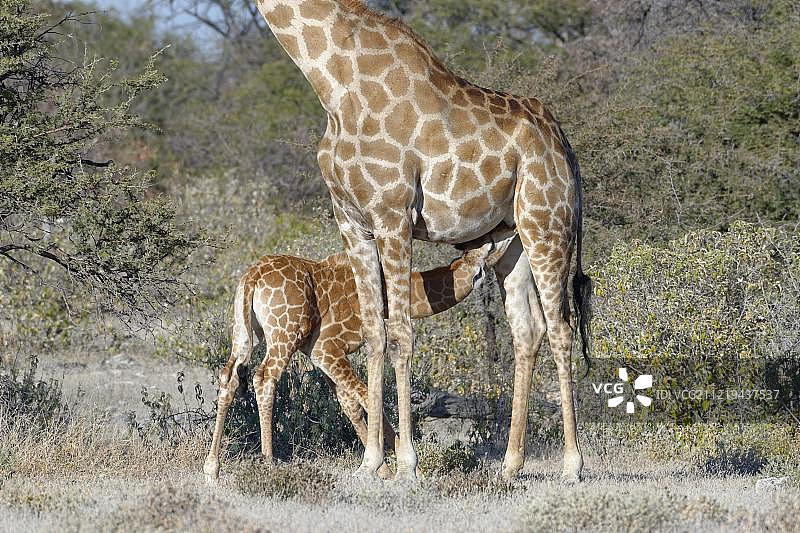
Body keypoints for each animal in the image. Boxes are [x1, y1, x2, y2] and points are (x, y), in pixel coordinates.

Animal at [203, 238, 512, 482]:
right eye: (482, 263)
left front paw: (384, 468)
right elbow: (368, 396)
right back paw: (269, 463)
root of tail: (252, 277)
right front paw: (408, 468)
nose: (501, 244)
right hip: (285, 333)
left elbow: (350, 403)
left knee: (229, 377)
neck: (385, 297)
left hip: (244, 333)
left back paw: (212, 467)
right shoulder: (327, 347)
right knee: (265, 378)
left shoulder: (321, 354)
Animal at [251, 0, 592, 482]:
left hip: (547, 222)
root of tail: (564, 145)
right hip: (513, 242)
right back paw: (510, 464)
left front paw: (407, 464)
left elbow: (401, 334)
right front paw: (371, 463)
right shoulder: (352, 222)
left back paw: (572, 466)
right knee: (528, 330)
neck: (333, 84)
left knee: (561, 328)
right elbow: (375, 332)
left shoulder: (392, 214)